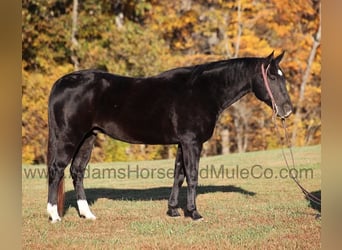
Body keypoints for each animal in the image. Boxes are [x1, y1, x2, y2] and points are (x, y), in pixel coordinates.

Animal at [46, 51, 292, 223]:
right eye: (272, 77)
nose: (287, 110)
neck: (203, 90)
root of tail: (61, 83)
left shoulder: (182, 143)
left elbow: (178, 175)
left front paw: (173, 210)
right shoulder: (192, 143)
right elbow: (192, 176)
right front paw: (194, 213)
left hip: (87, 138)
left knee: (77, 171)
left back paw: (87, 214)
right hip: (69, 137)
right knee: (56, 170)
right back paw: (54, 215)